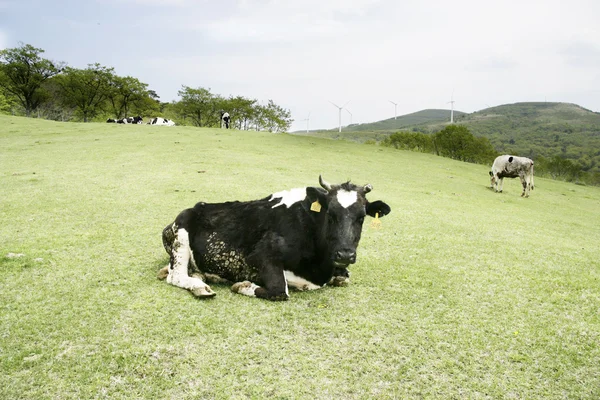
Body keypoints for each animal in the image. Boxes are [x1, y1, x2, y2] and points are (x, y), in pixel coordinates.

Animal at [157, 176, 392, 300]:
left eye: (361, 217)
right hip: (181, 236)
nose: (344, 254)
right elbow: (280, 291)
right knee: (175, 276)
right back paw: (200, 287)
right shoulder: (261, 255)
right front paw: (242, 285)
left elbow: (345, 277)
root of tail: (197, 206)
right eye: (331, 214)